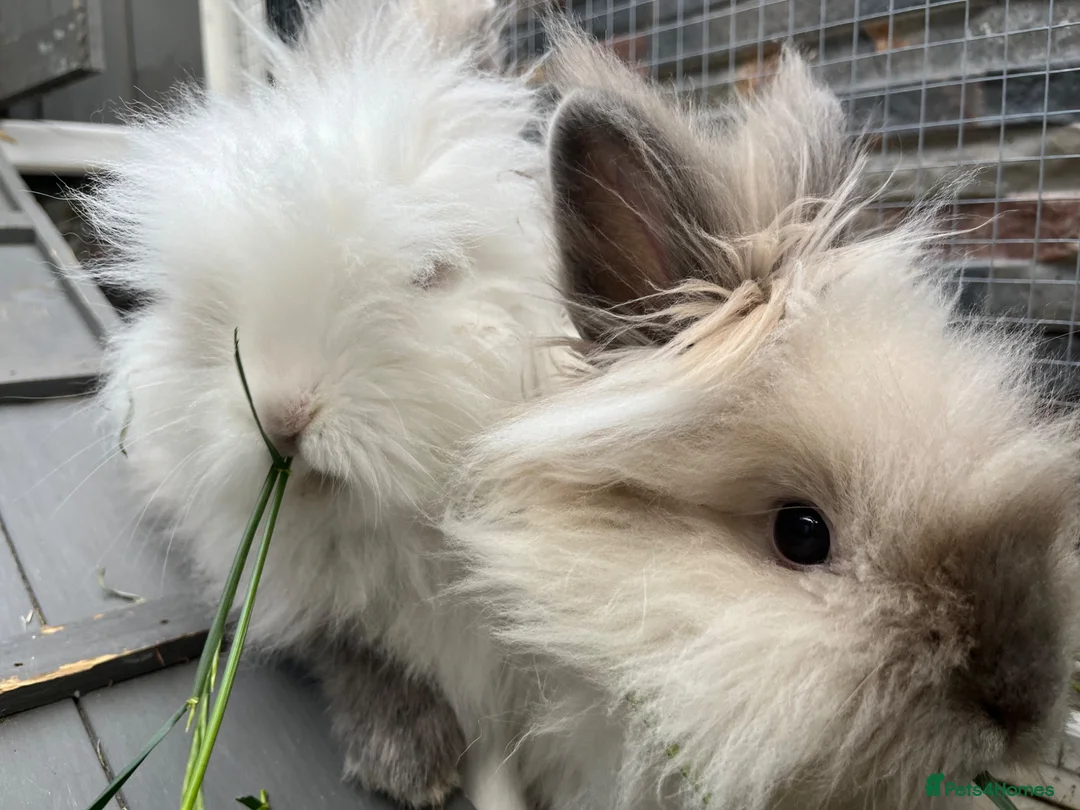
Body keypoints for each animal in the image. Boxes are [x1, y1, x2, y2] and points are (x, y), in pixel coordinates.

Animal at [80, 0, 567, 807]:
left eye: (430, 273)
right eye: (214, 306)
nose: (283, 415)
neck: (403, 532)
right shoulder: (299, 593)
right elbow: (355, 654)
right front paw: (410, 765)